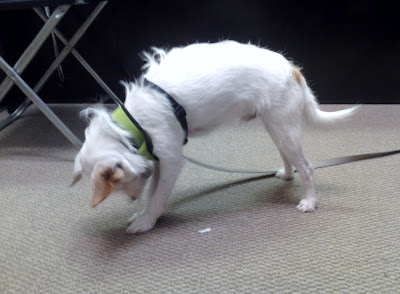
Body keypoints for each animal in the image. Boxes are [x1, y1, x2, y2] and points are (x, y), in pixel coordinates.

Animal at [72, 40, 356, 234]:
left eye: (118, 183)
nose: (132, 199)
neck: (132, 124)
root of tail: (292, 69)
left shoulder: (171, 160)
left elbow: (158, 195)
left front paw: (146, 220)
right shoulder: (160, 160)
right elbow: (153, 192)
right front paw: (142, 213)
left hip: (284, 127)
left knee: (307, 168)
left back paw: (310, 202)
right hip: (275, 125)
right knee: (288, 157)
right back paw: (287, 175)